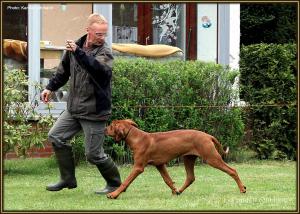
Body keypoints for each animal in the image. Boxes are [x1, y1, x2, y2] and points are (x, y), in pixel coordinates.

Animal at [105, 118, 246, 199]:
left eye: (111, 126)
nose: (104, 129)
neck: (136, 137)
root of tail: (207, 135)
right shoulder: (160, 165)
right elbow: (167, 180)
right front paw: (174, 190)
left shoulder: (138, 167)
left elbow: (126, 181)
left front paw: (113, 194)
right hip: (188, 158)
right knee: (190, 178)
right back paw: (180, 191)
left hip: (211, 158)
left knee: (232, 170)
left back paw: (242, 189)